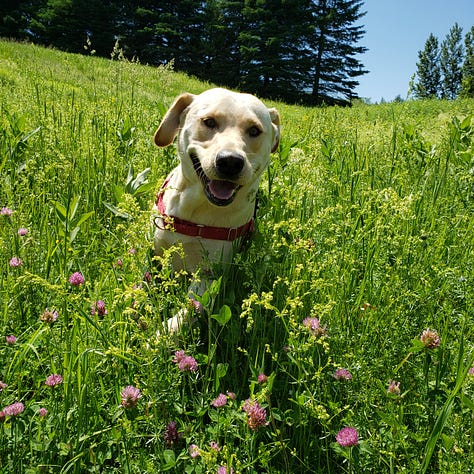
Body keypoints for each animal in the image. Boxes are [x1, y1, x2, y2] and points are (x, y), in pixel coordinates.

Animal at [153, 89, 278, 332]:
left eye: (254, 131)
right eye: (209, 122)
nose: (230, 162)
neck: (196, 213)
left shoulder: (210, 275)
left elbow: (190, 309)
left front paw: (165, 332)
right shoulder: (156, 254)